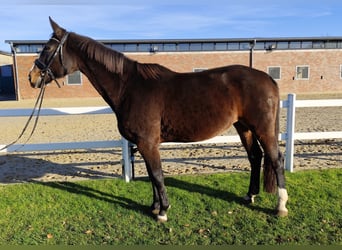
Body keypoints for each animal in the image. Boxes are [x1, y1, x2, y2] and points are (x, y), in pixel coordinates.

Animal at [28, 17, 288, 222]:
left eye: (47, 48)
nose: (32, 77)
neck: (129, 87)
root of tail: (267, 78)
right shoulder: (145, 144)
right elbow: (152, 176)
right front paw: (154, 207)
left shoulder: (147, 143)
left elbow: (157, 174)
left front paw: (163, 211)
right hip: (243, 127)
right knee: (255, 157)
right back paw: (250, 195)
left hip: (262, 128)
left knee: (275, 159)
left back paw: (281, 206)